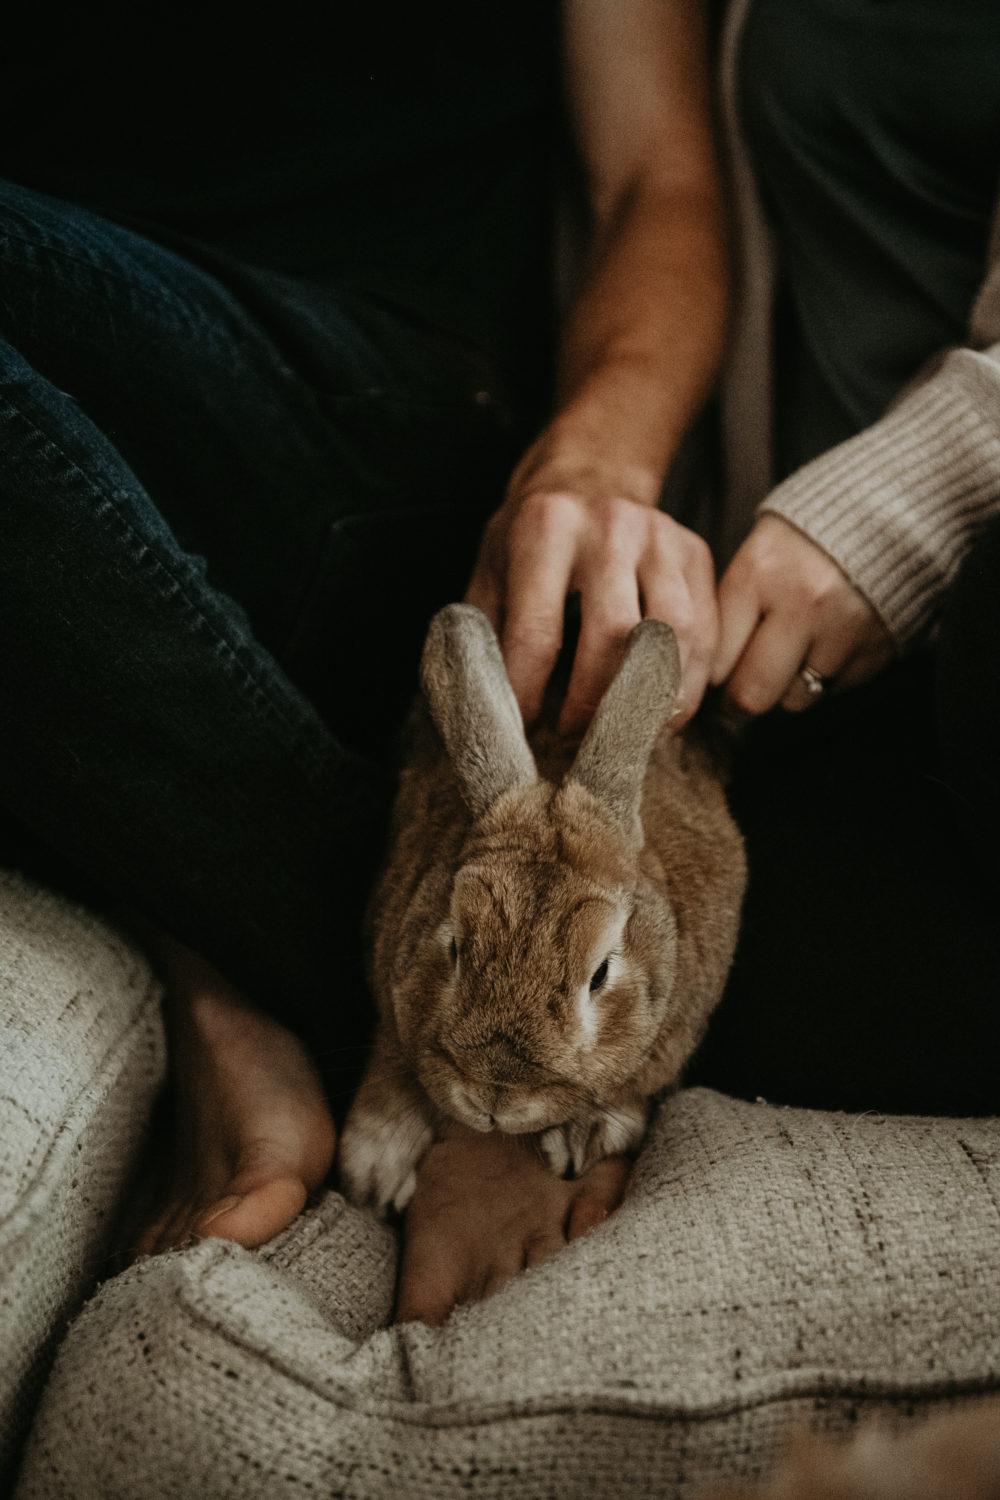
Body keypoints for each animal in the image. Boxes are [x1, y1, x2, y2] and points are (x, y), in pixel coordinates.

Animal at [340, 603, 746, 1212]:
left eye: (600, 975)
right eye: (454, 947)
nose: (495, 1098)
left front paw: (585, 1136)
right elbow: (393, 1063)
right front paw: (373, 1177)